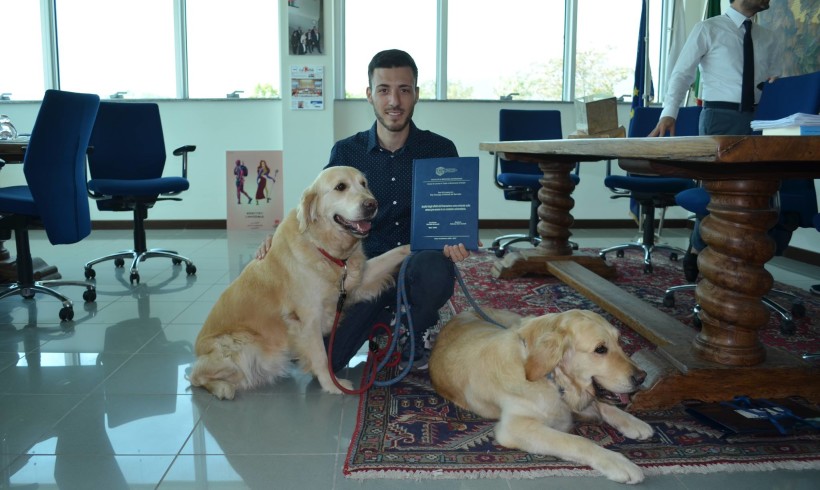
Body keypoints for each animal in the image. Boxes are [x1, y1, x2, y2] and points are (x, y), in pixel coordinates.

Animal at [191, 167, 410, 400]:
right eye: (340, 187)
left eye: (364, 184)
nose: (372, 204)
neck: (323, 248)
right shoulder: (308, 318)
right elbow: (322, 357)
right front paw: (332, 385)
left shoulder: (358, 281)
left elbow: (396, 252)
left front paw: (418, 247)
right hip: (240, 345)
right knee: (195, 376)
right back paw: (222, 388)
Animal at [430, 308, 652, 484]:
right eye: (600, 349)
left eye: (619, 341)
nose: (642, 377)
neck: (550, 377)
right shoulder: (515, 427)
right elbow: (578, 441)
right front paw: (619, 462)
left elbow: (602, 404)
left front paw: (634, 423)